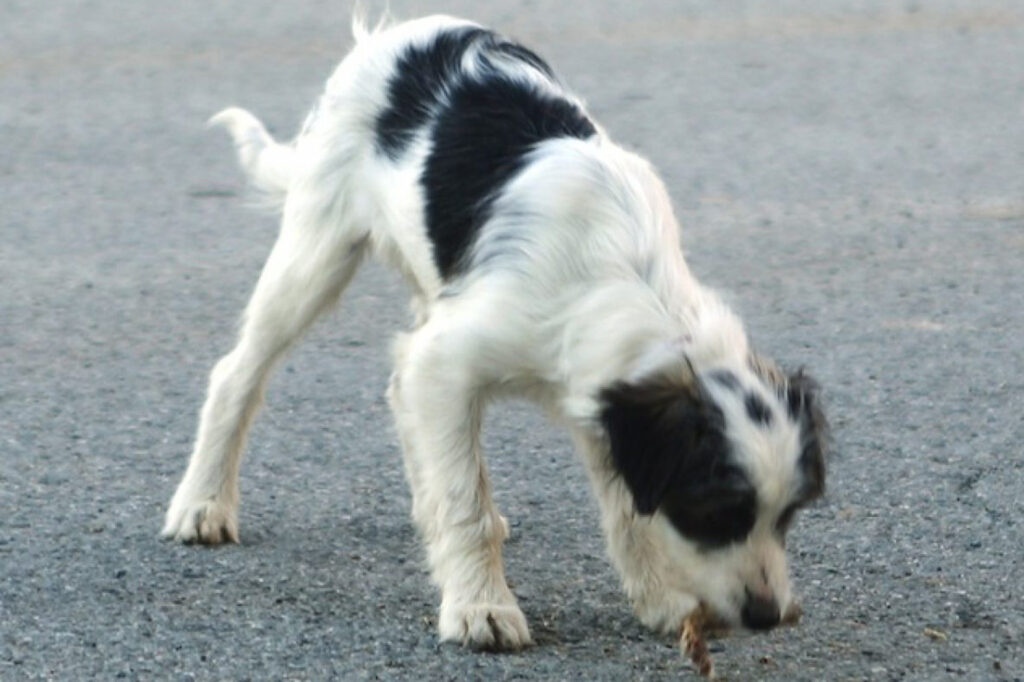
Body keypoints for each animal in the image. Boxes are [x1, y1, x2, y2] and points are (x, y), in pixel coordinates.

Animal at [163, 15, 827, 651]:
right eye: (716, 512)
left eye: (787, 514)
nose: (768, 616)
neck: (625, 275)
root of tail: (388, 36)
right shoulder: (452, 361)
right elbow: (468, 504)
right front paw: (481, 608)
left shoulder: (595, 397)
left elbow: (627, 509)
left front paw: (661, 599)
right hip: (316, 251)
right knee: (238, 372)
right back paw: (202, 504)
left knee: (397, 386)